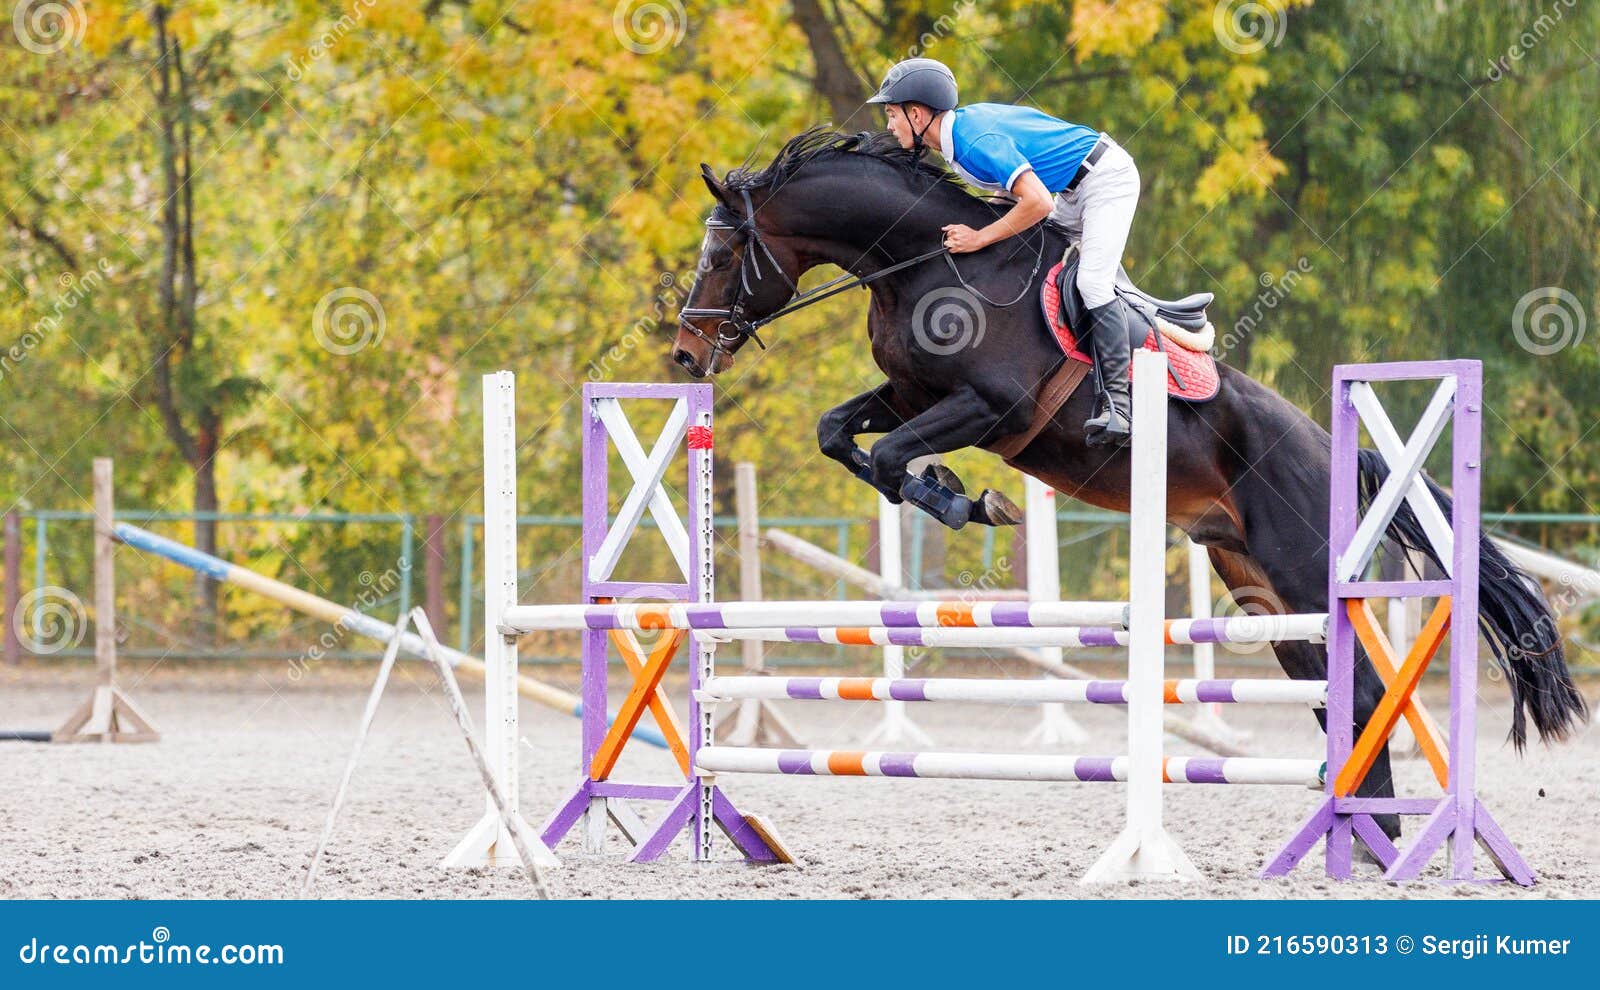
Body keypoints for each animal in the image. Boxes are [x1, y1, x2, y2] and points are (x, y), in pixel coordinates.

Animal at [672, 125, 1587, 844]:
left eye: (723, 253)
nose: (684, 355)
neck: (924, 268)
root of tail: (1334, 446)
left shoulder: (989, 409)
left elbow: (896, 458)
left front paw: (967, 501)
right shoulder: (909, 395)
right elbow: (840, 435)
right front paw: (955, 495)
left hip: (1301, 572)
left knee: (1358, 688)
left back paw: (1375, 841)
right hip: (1257, 585)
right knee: (1334, 692)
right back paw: (1365, 838)